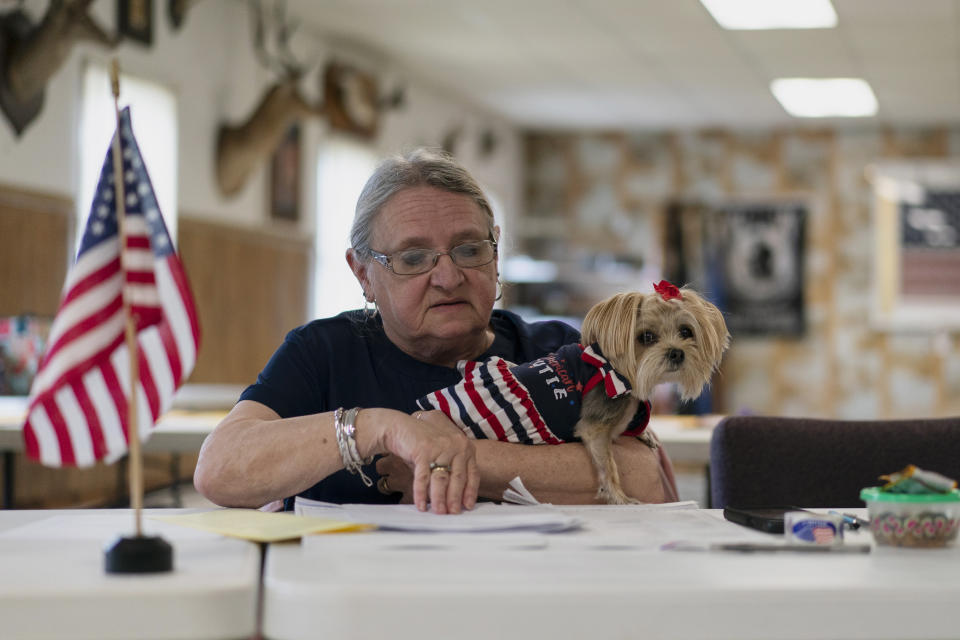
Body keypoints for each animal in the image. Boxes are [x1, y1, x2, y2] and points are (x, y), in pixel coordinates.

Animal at [416, 280, 732, 504]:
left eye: (686, 332)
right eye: (646, 337)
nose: (677, 353)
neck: (613, 368)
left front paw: (644, 433)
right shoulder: (595, 428)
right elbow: (609, 465)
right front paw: (619, 497)